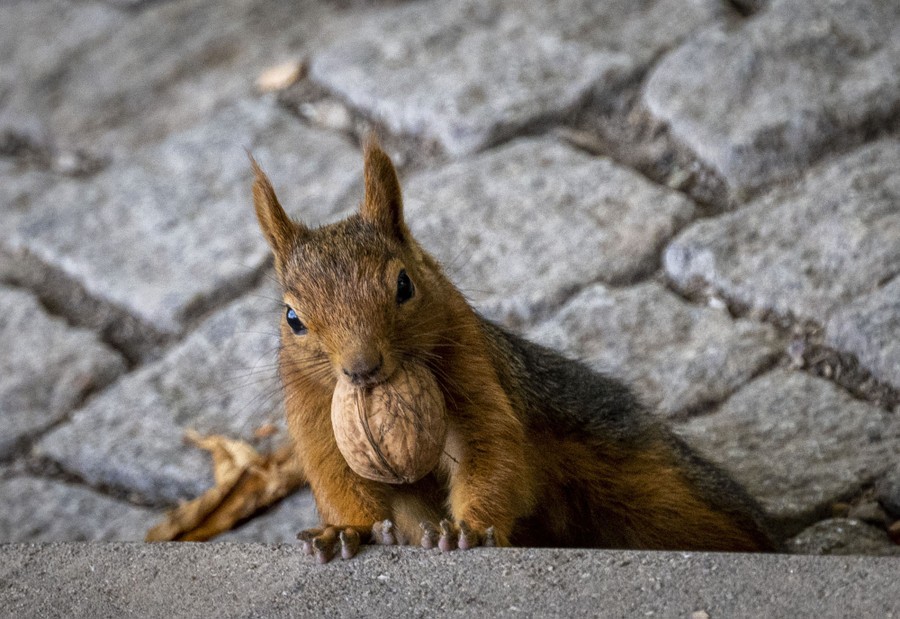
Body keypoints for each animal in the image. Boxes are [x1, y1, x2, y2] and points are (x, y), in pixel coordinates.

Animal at [250, 139, 777, 562]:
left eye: (404, 285)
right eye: (293, 319)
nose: (361, 369)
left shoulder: (470, 360)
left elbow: (489, 447)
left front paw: (468, 529)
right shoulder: (310, 407)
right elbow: (337, 475)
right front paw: (346, 531)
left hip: (657, 491)